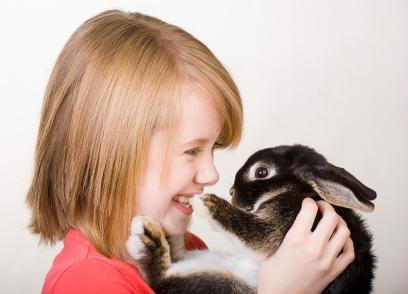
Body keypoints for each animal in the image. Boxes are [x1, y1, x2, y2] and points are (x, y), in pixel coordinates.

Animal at [127, 144, 376, 292]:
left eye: (261, 172)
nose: (231, 192)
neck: (298, 190)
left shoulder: (280, 224)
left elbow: (249, 230)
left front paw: (206, 202)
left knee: (160, 279)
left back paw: (148, 240)